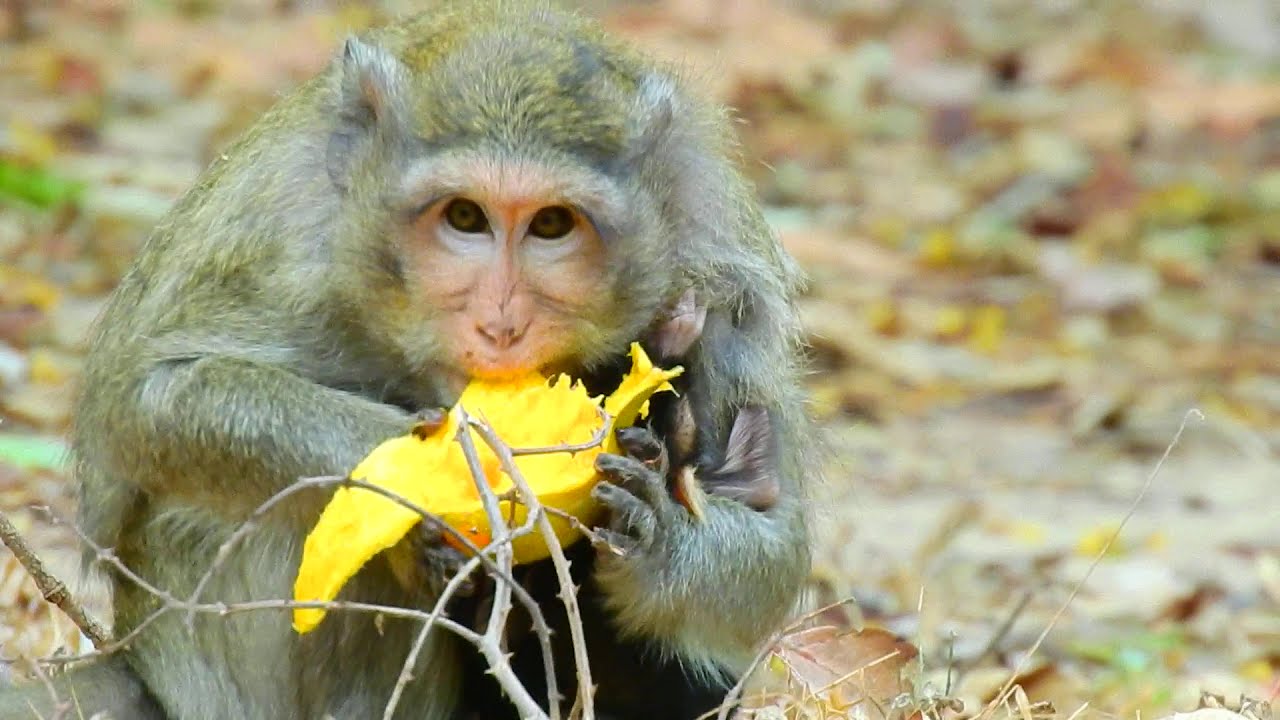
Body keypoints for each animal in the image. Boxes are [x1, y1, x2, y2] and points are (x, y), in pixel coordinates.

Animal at [0, 2, 813, 719]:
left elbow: (778, 554)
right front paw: (419, 475)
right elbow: (146, 402)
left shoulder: (722, 268)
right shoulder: (282, 231)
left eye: (552, 225)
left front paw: (659, 535)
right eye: (465, 218)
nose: (501, 323)